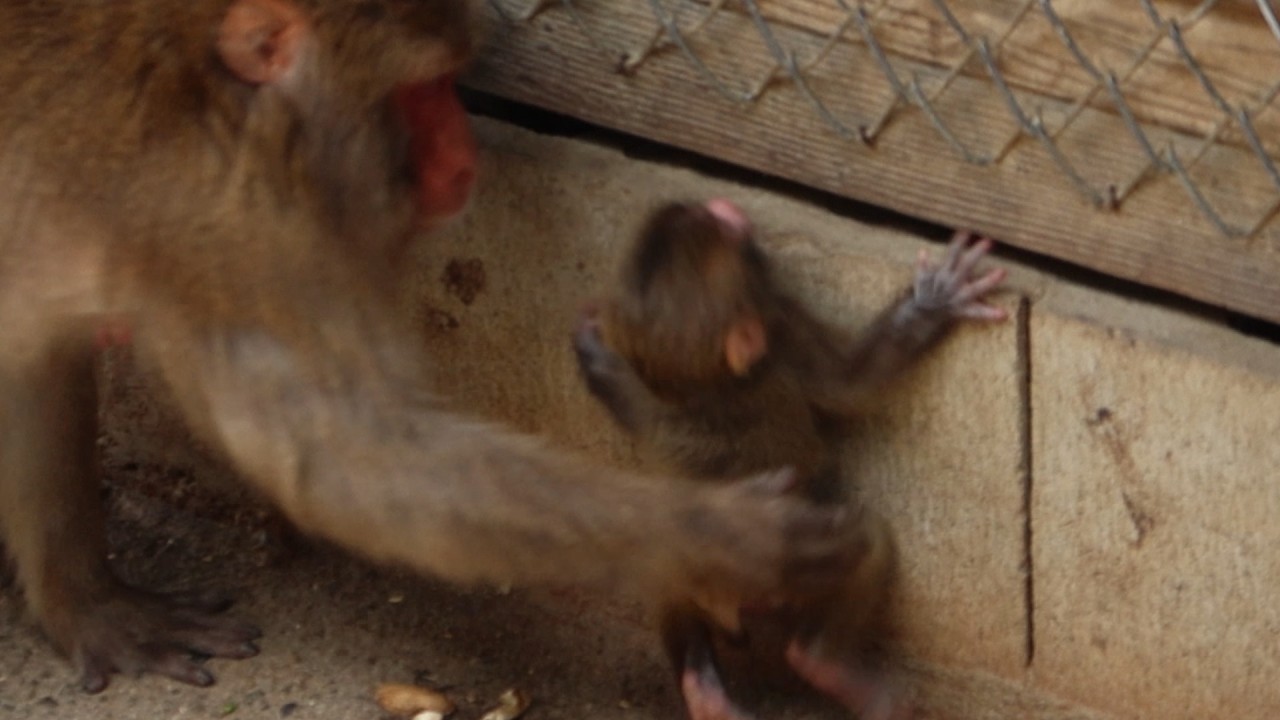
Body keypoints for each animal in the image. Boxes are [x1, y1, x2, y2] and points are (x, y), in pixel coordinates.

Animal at [0, 0, 859, 694]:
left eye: (451, 83)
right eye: (422, 91)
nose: (464, 153)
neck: (217, 91)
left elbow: (34, 366)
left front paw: (92, 607)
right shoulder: (233, 225)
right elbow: (354, 468)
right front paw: (728, 536)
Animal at [573, 198, 1008, 720]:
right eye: (725, 232)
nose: (724, 206)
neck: (705, 386)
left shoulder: (660, 393)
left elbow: (630, 396)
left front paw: (593, 349)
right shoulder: (780, 332)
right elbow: (851, 383)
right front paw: (932, 303)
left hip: (682, 563)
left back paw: (705, 694)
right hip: (780, 574)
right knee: (862, 543)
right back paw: (827, 664)